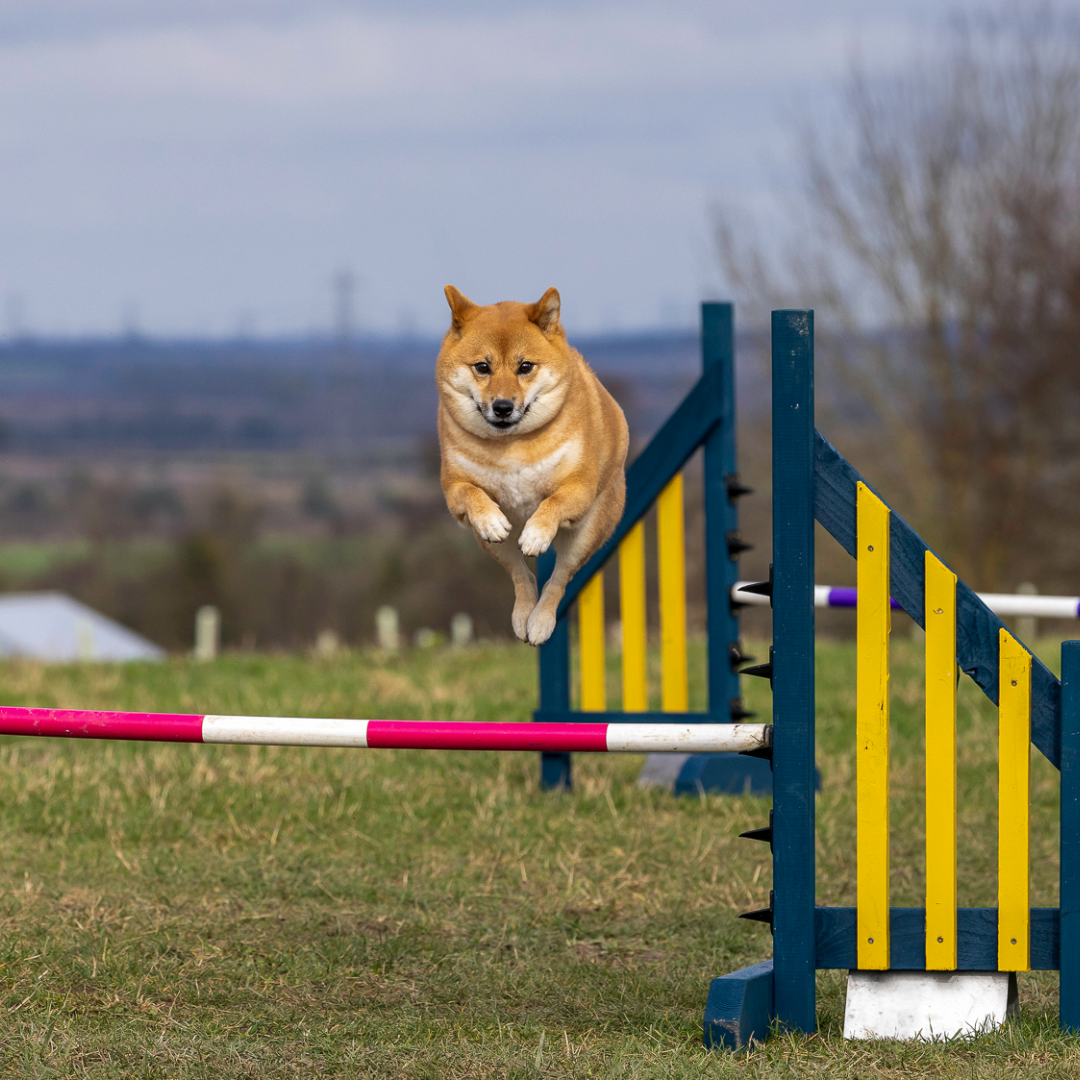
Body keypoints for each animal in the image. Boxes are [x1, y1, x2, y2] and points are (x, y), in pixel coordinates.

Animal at [434, 282, 630, 643]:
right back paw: (524, 614)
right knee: (521, 574)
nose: (502, 406)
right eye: (482, 367)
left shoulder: (578, 487)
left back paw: (539, 621)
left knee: (559, 579)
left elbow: (553, 503)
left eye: (525, 366)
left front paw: (537, 534)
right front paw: (490, 519)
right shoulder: (455, 489)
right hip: (491, 545)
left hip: (587, 533)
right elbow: (472, 493)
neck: (512, 445)